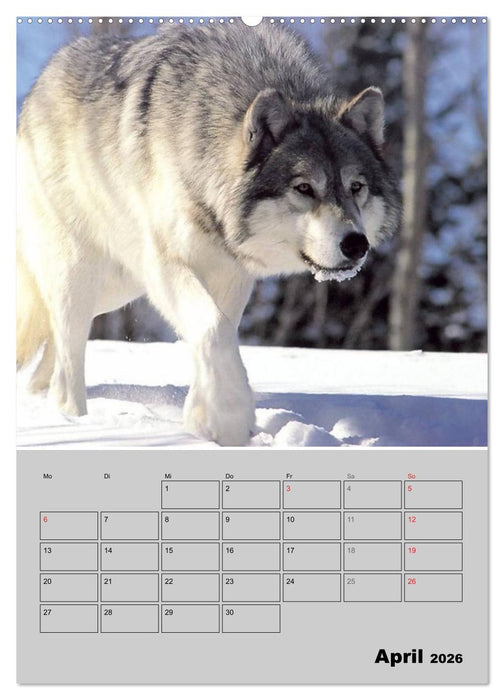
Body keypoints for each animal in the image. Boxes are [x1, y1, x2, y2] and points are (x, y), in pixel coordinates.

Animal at [17, 22, 401, 445]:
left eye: (355, 187)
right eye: (304, 188)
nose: (356, 244)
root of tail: (40, 84)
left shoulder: (231, 272)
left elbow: (219, 332)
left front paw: (204, 415)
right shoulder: (165, 263)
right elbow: (213, 328)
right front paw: (229, 417)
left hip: (117, 288)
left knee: (51, 344)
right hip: (82, 274)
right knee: (65, 360)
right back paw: (72, 419)